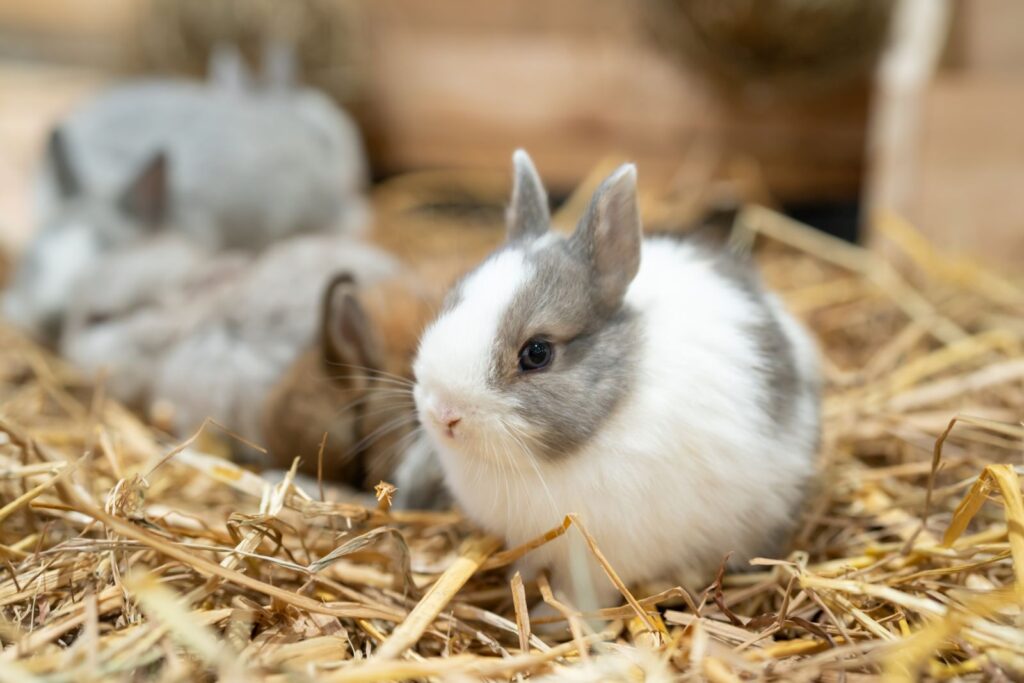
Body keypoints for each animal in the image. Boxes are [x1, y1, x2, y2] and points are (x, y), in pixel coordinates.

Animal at [411, 150, 819, 610]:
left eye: (537, 353)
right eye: (451, 301)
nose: (443, 413)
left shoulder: (600, 556)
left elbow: (583, 595)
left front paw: (559, 616)